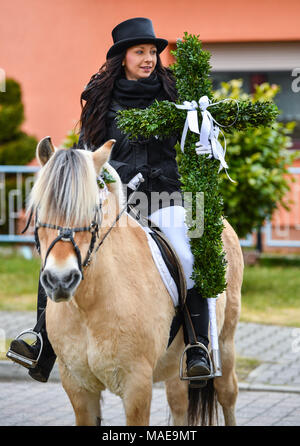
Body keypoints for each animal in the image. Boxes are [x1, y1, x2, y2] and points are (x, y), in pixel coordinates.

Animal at [28, 138, 244, 426]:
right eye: (39, 207)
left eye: (93, 209)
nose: (60, 279)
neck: (91, 304)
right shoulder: (78, 386)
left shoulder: (136, 385)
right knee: (179, 403)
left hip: (226, 342)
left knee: (227, 394)